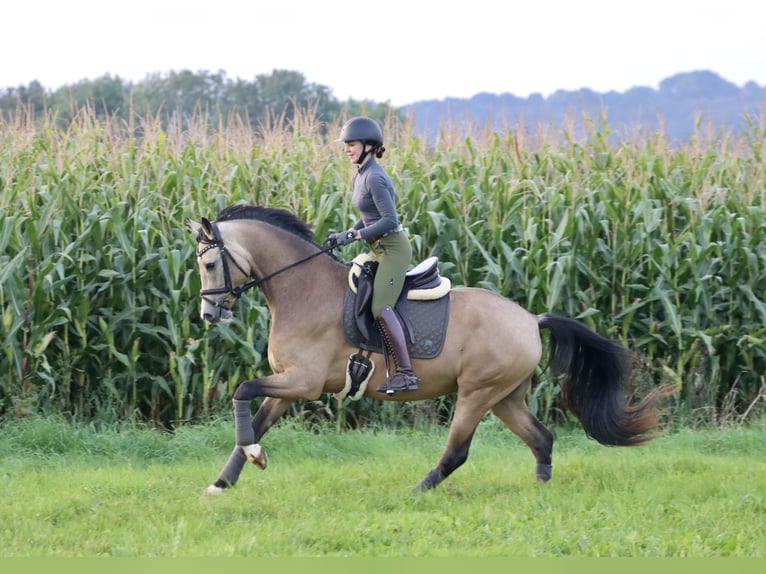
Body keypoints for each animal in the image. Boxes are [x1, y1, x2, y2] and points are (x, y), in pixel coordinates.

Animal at [189, 205, 676, 498]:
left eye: (210, 263)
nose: (209, 313)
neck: (300, 289)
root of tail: (529, 318)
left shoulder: (303, 383)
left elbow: (241, 391)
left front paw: (253, 457)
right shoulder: (289, 385)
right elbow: (253, 420)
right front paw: (224, 480)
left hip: (476, 394)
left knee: (458, 450)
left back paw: (419, 489)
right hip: (505, 397)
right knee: (542, 438)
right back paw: (540, 490)